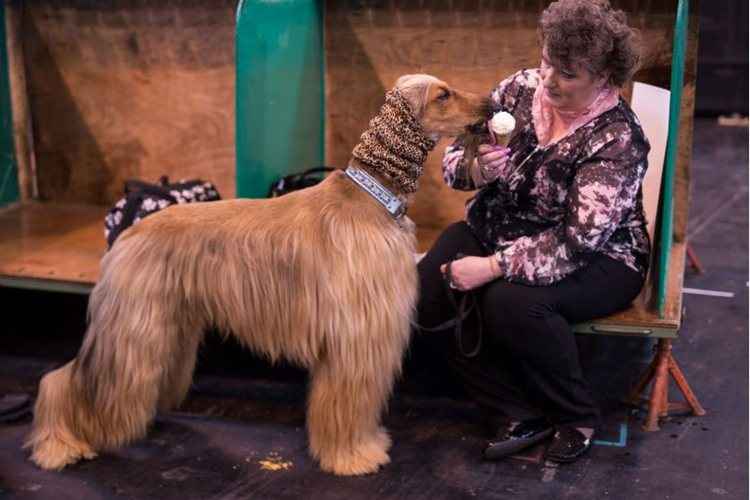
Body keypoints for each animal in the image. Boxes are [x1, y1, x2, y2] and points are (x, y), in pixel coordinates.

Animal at [25, 75, 494, 476]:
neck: (371, 197)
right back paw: (60, 444)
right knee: (65, 381)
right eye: (443, 94)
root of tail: (128, 232)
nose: (490, 103)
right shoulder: (354, 337)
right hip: (133, 333)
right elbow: (345, 406)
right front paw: (353, 456)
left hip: (167, 327)